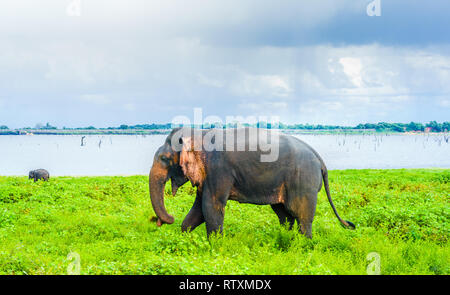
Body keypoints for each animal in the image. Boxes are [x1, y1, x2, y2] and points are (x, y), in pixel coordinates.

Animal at [149, 127, 354, 238]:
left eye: (164, 158)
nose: (161, 221)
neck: (200, 132)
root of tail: (319, 158)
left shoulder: (218, 170)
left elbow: (211, 206)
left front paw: (215, 244)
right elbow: (198, 209)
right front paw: (185, 235)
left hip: (303, 180)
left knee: (301, 214)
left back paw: (303, 244)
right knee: (284, 214)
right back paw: (287, 239)